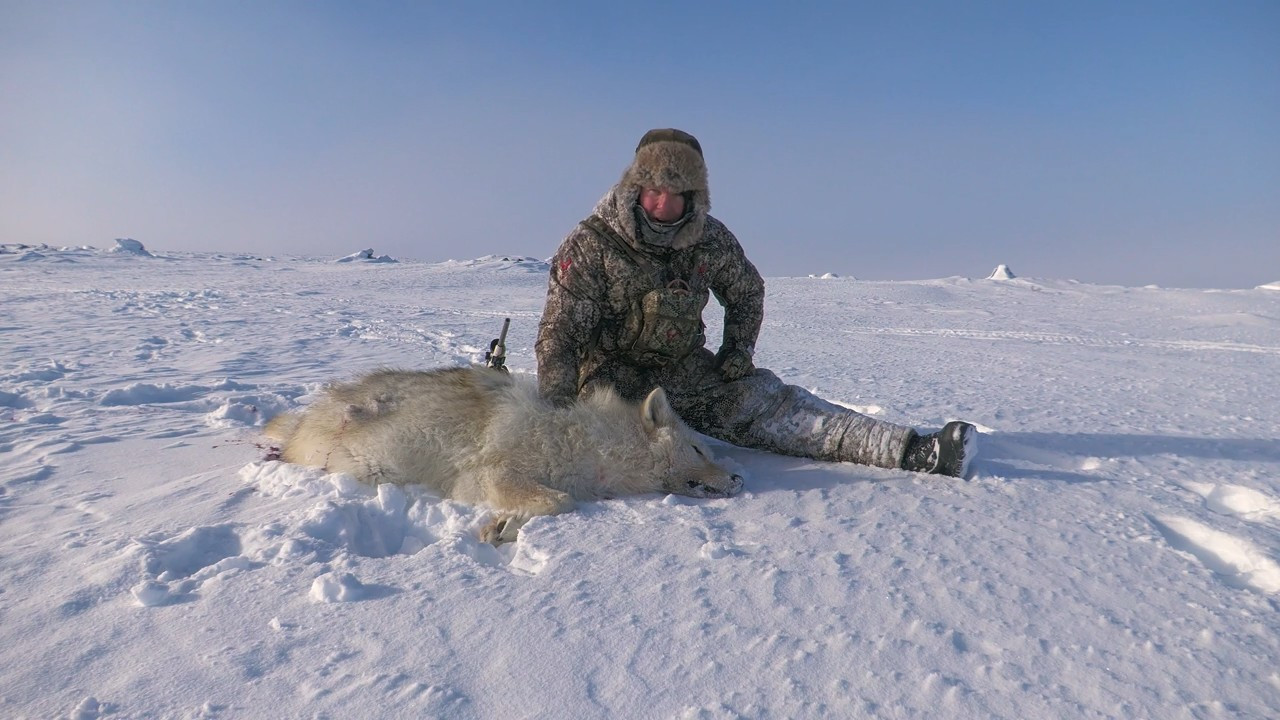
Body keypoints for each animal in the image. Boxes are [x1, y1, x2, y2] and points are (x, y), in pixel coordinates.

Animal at [264, 366, 744, 543]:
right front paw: (502, 526)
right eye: (698, 448)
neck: (594, 444)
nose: (740, 479)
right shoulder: (489, 474)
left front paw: (505, 524)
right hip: (366, 465)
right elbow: (558, 500)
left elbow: (555, 500)